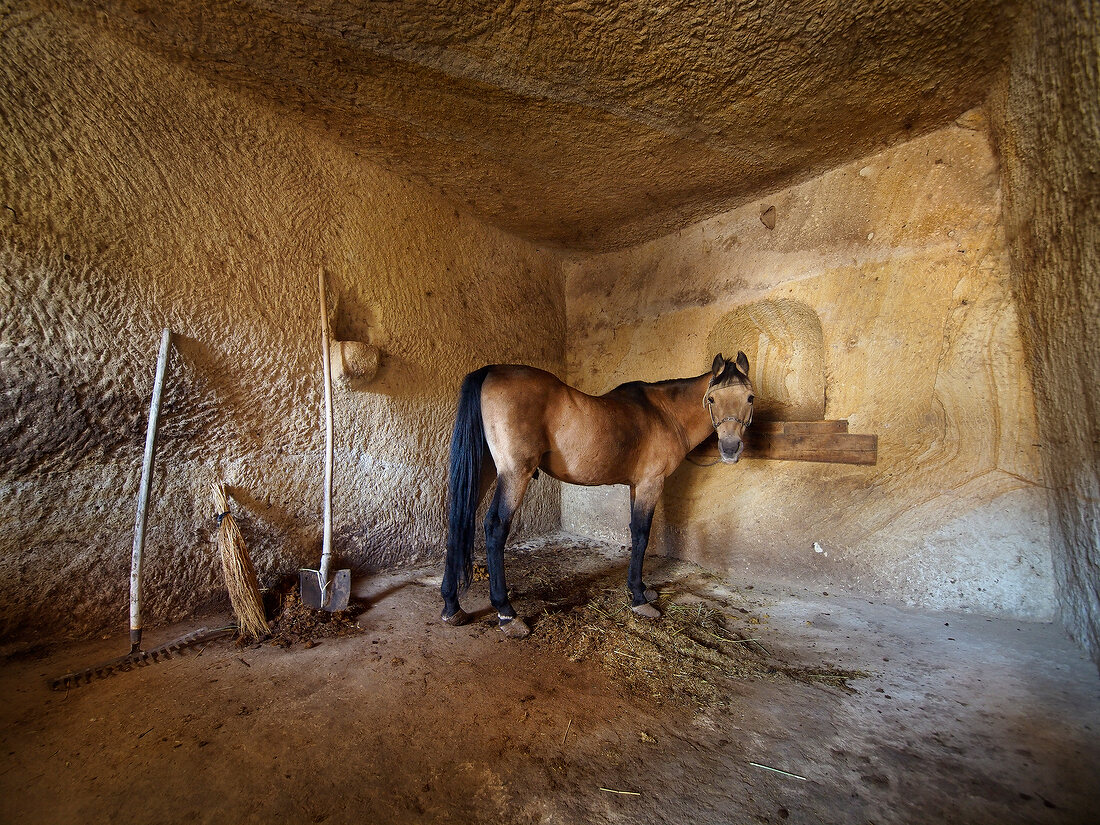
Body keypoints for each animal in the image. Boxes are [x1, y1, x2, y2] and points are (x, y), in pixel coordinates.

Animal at [442, 352, 752, 638]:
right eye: (712, 399)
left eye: (749, 397)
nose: (730, 448)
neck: (664, 413)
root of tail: (490, 371)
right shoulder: (651, 484)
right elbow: (642, 534)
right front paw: (639, 598)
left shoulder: (636, 486)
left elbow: (636, 534)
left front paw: (641, 588)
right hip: (515, 474)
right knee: (495, 527)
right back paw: (506, 613)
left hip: (483, 470)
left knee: (458, 520)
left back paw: (452, 607)